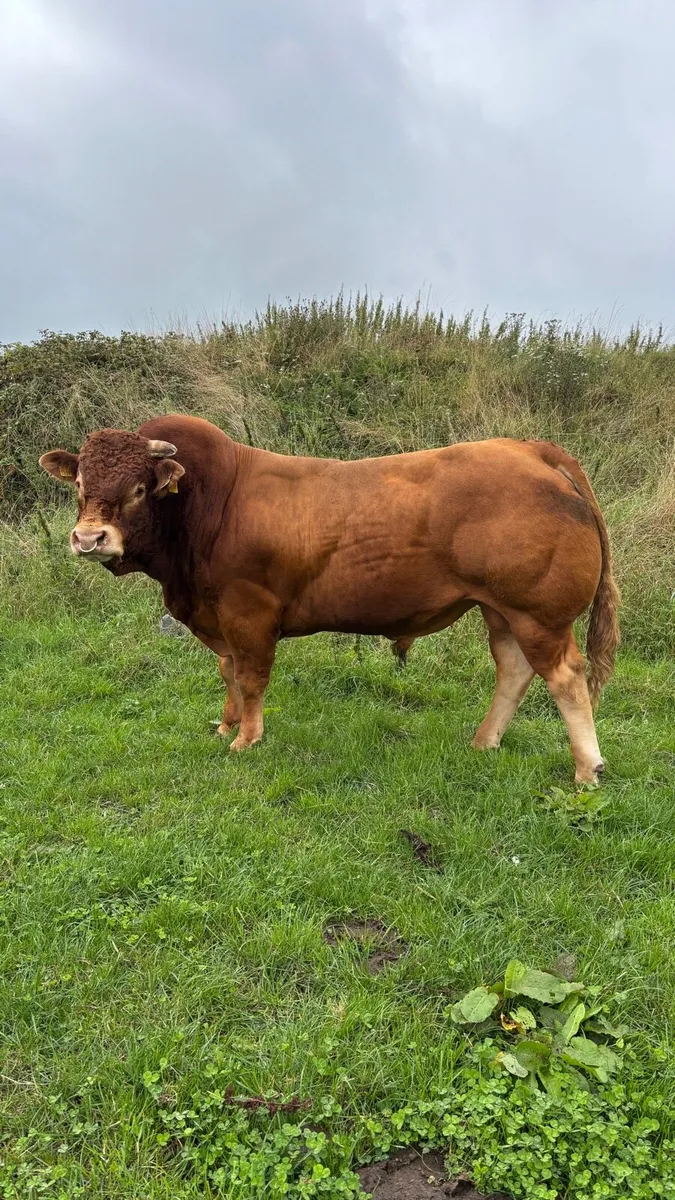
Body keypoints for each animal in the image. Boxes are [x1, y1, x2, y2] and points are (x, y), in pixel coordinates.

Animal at [39, 414, 620, 784]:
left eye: (139, 488)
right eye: (80, 483)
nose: (89, 539)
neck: (208, 506)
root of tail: (529, 449)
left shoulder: (248, 612)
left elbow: (251, 676)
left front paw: (246, 738)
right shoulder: (218, 617)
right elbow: (229, 673)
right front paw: (226, 724)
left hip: (537, 613)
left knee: (565, 677)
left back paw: (586, 768)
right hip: (500, 610)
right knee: (514, 670)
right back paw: (484, 742)